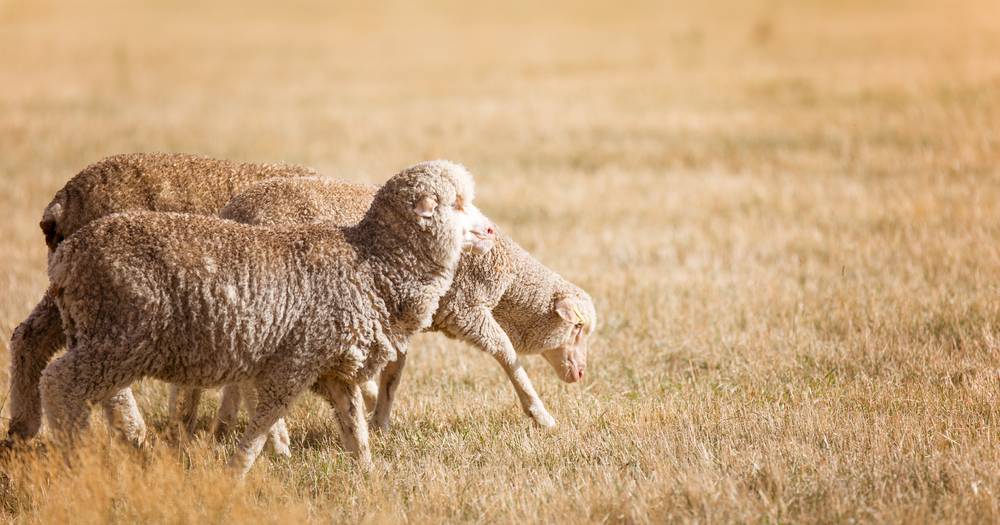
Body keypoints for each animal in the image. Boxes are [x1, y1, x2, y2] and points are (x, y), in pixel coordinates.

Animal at [5, 151, 314, 442]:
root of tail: (62, 203)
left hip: (70, 290)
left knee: (28, 337)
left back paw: (23, 427)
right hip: (115, 302)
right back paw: (132, 432)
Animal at [41, 159, 494, 470]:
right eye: (456, 205)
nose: (490, 231)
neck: (372, 263)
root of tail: (67, 256)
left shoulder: (333, 366)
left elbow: (354, 428)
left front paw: (367, 475)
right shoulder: (294, 361)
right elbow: (263, 422)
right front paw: (238, 471)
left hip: (102, 337)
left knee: (95, 392)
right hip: (117, 336)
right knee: (58, 382)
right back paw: (75, 452)